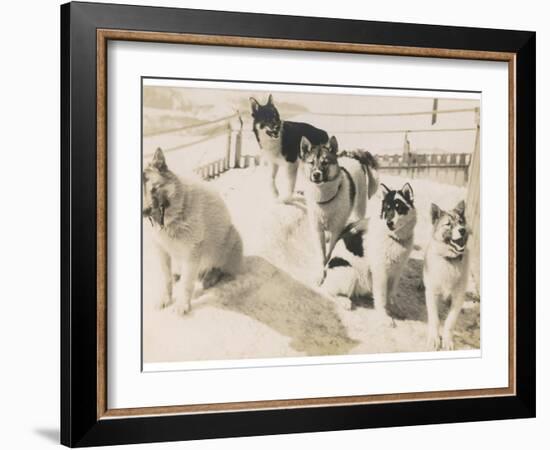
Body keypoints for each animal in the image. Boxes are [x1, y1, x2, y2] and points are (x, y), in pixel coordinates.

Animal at [142, 149, 244, 314]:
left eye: (155, 188)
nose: (144, 212)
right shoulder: (161, 250)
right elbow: (166, 278)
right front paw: (165, 299)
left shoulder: (192, 252)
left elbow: (186, 284)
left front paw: (182, 305)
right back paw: (178, 274)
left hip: (230, 239)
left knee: (220, 268)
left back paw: (210, 278)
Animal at [300, 134, 382, 284]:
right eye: (311, 162)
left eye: (325, 162)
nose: (316, 174)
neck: (325, 199)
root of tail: (353, 156)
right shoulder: (317, 229)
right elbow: (321, 254)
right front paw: (320, 273)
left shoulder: (336, 229)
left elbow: (330, 251)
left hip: (359, 206)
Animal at [324, 183, 418, 324]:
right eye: (387, 208)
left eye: (399, 208)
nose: (389, 223)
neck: (393, 238)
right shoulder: (381, 272)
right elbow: (382, 297)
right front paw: (384, 317)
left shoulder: (396, 272)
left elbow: (391, 294)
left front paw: (394, 308)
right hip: (350, 272)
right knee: (329, 290)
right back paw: (344, 300)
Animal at [424, 200, 472, 352]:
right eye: (448, 224)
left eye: (461, 222)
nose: (462, 230)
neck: (450, 261)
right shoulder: (432, 294)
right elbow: (434, 319)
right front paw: (434, 339)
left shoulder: (458, 297)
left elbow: (450, 322)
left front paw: (447, 340)